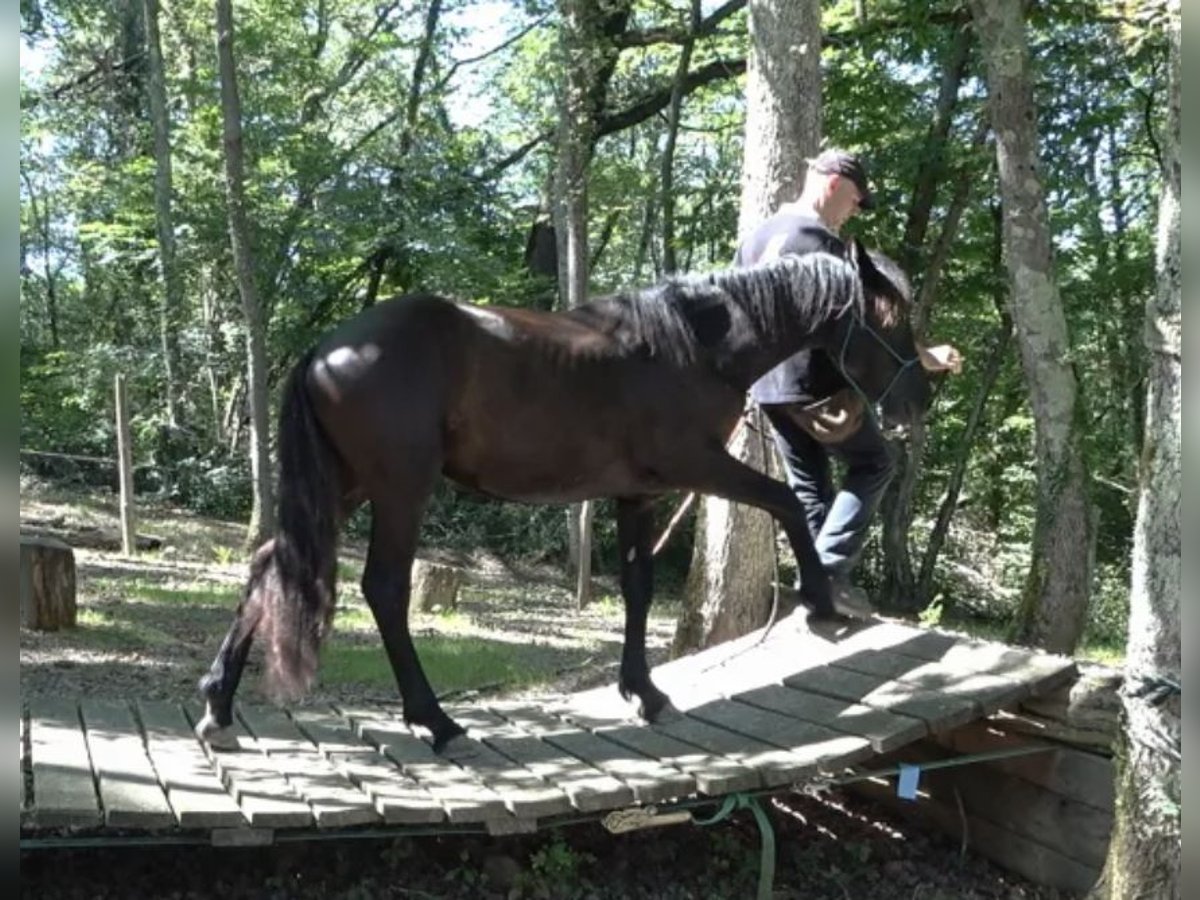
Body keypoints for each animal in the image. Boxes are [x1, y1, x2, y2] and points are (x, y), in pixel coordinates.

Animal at [194, 237, 926, 753]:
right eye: (891, 323)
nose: (912, 404)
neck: (690, 347)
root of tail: (329, 348)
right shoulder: (698, 466)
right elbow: (787, 503)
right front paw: (820, 602)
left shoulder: (639, 494)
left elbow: (635, 589)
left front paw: (644, 690)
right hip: (399, 489)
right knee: (384, 588)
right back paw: (436, 720)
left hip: (347, 486)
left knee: (270, 564)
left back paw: (217, 705)